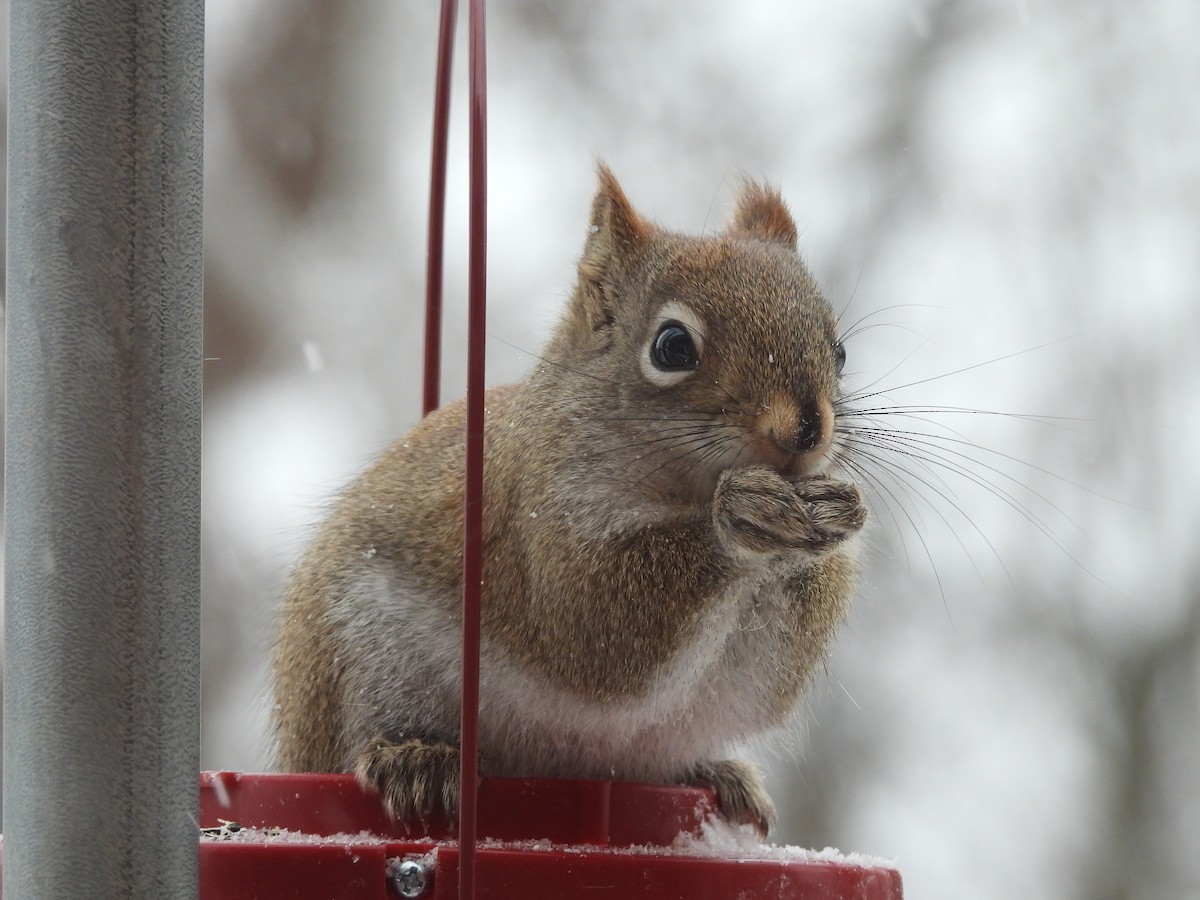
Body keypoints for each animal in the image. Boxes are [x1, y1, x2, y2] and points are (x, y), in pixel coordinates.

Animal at [271, 165, 867, 838]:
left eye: (839, 350)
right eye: (672, 347)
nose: (805, 430)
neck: (680, 486)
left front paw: (835, 519)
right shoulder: (536, 516)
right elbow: (586, 620)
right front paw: (739, 514)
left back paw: (722, 775)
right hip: (361, 656)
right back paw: (412, 758)